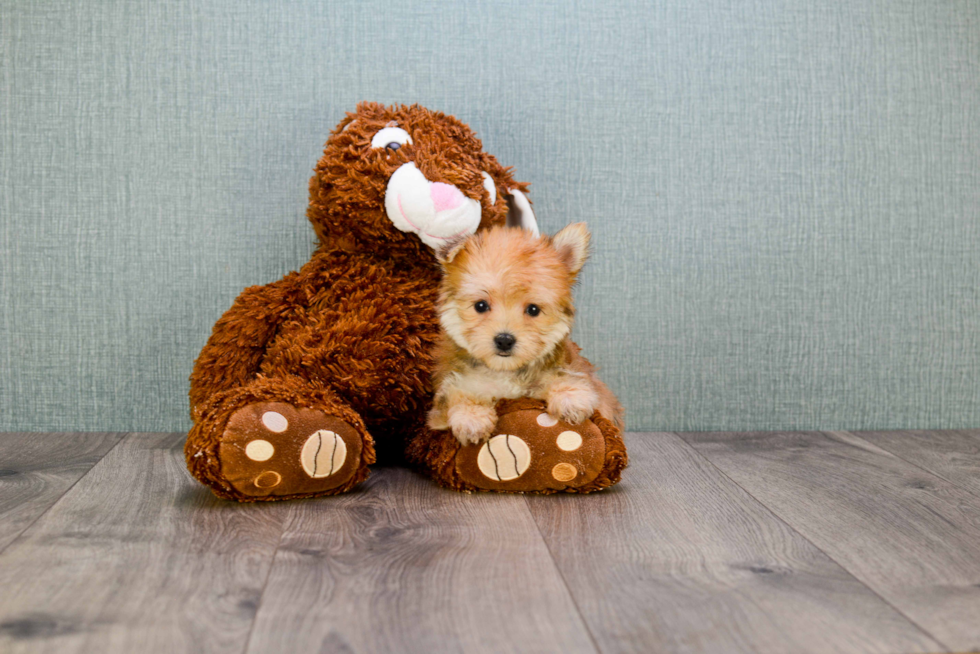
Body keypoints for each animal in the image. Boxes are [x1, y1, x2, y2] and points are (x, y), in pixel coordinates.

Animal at [426, 224, 620, 446]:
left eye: (533, 309)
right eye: (481, 305)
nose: (504, 340)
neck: (505, 372)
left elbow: (563, 376)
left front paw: (570, 397)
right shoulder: (445, 398)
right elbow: (459, 393)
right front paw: (471, 418)